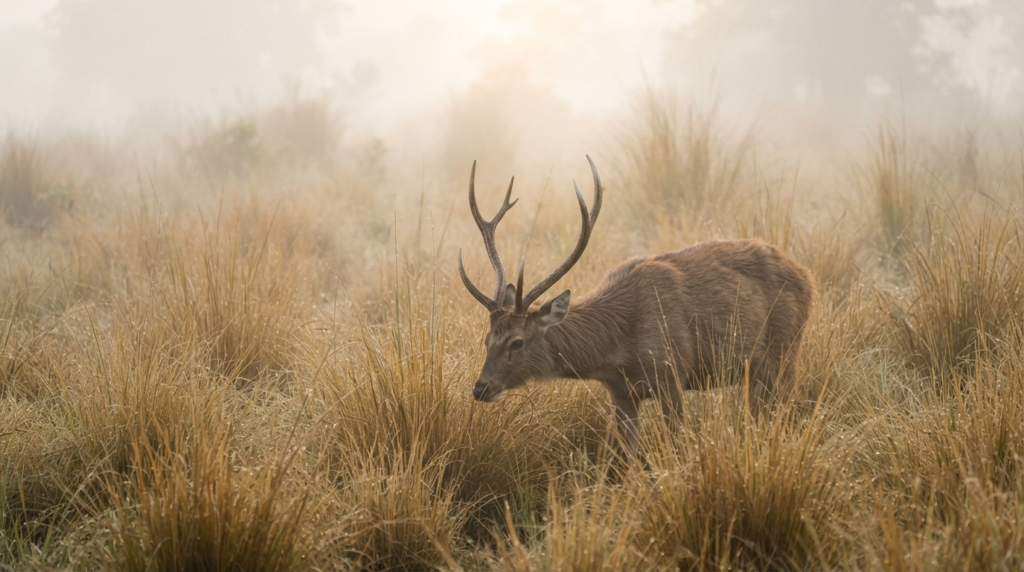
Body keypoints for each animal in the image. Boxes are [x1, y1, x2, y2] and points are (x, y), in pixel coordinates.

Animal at [457, 156, 816, 454]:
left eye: (517, 342)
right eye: (486, 339)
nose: (480, 388)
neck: (620, 348)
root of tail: (808, 277)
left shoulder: (673, 373)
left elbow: (676, 447)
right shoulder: (621, 393)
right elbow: (626, 456)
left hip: (786, 351)